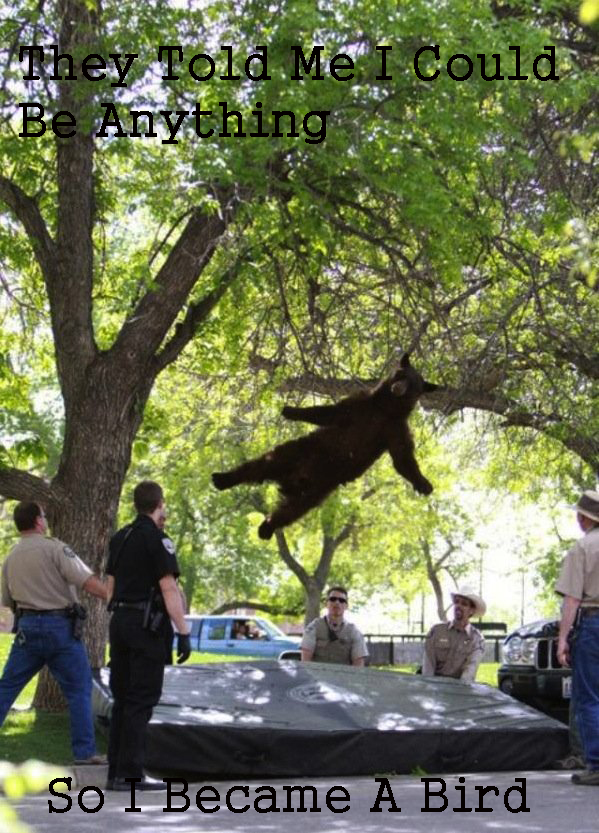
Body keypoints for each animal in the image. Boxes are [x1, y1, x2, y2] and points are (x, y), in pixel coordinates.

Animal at [212, 353, 439, 539]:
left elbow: (403, 457)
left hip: (317, 490)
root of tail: (291, 481)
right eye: (401, 375)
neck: (385, 408)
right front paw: (291, 410)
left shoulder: (394, 428)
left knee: (290, 511)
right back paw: (223, 478)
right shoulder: (360, 405)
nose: (398, 388)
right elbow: (329, 412)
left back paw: (266, 527)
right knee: (260, 465)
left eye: (413, 385)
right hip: (298, 452)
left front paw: (424, 484)